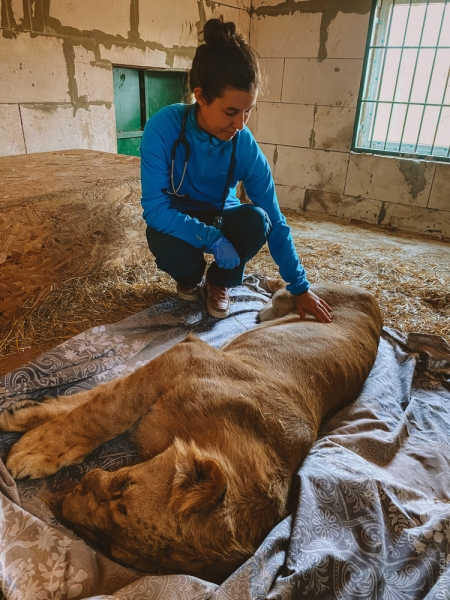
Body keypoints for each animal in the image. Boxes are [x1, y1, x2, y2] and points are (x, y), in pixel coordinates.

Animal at [0, 284, 384, 584]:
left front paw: (27, 423)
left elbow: (104, 401)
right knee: (286, 291)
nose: (64, 504)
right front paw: (32, 436)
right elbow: (104, 406)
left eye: (116, 550)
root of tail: (373, 297)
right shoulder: (186, 353)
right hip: (308, 297)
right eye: (124, 487)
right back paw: (266, 309)